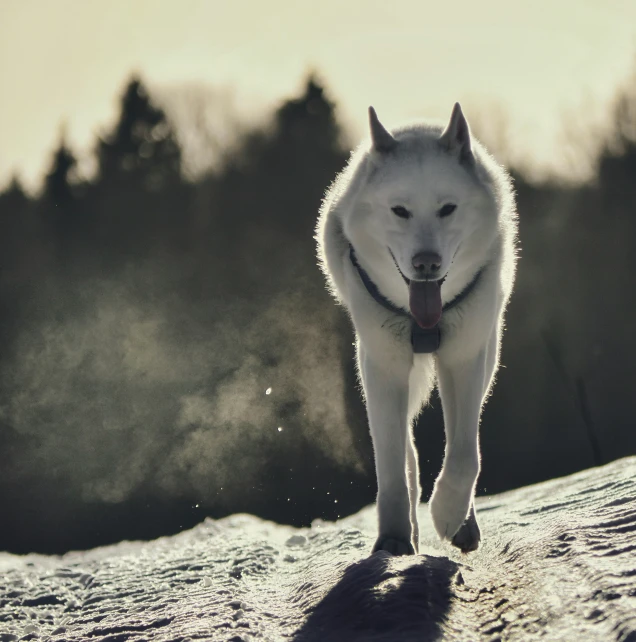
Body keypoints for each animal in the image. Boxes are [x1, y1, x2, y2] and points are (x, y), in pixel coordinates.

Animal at [316, 104, 520, 552]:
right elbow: (392, 462)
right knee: (405, 449)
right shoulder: (384, 365)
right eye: (400, 211)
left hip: (484, 354)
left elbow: (464, 454)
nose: (426, 263)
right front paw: (394, 536)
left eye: (447, 208)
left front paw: (447, 514)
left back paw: (463, 522)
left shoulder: (465, 358)